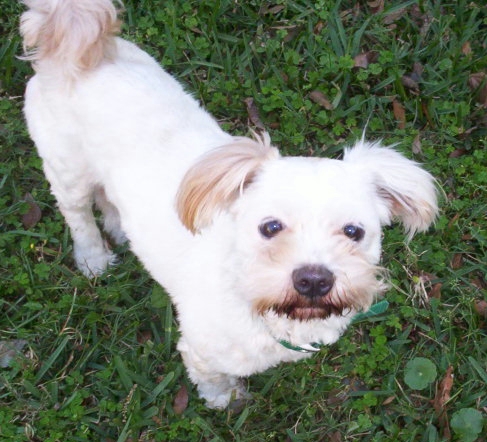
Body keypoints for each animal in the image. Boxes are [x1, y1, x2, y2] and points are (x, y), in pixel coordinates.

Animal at [21, 0, 438, 408]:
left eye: (354, 231)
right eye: (270, 227)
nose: (314, 279)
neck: (253, 293)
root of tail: (77, 45)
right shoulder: (200, 350)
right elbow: (214, 380)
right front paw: (226, 400)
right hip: (66, 169)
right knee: (77, 213)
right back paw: (93, 257)